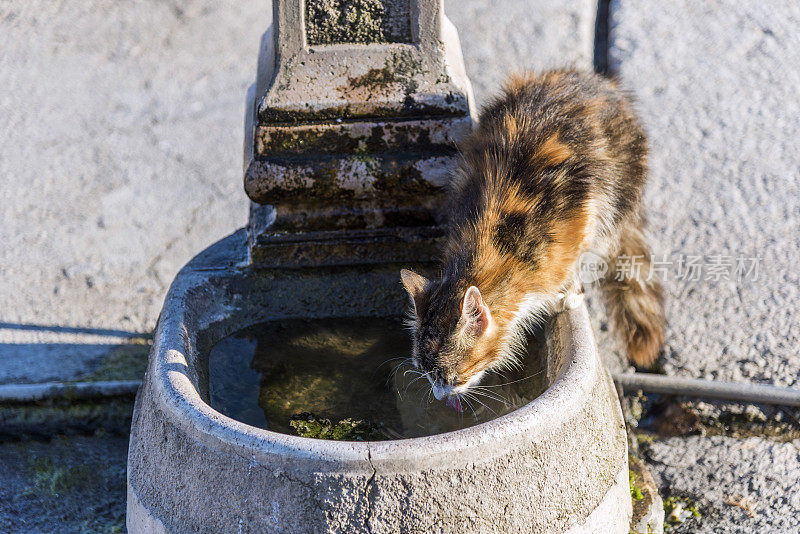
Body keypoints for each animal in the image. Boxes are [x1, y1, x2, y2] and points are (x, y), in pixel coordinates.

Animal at [404, 68, 664, 402]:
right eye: (425, 373)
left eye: (450, 376)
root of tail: (597, 82)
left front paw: (567, 295)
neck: (499, 250)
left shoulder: (580, 217)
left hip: (620, 185)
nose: (439, 396)